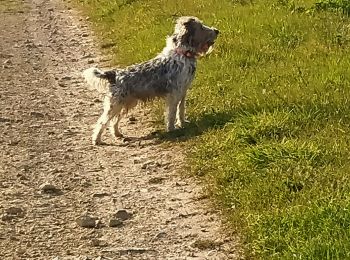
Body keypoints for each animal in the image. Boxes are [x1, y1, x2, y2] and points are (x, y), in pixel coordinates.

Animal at [82, 16, 219, 145]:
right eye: (201, 27)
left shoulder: (183, 92)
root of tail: (114, 74)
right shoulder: (174, 95)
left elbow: (181, 110)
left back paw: (117, 134)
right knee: (102, 122)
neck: (183, 54)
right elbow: (172, 113)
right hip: (115, 104)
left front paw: (183, 123)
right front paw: (172, 129)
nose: (217, 31)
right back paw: (97, 140)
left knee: (114, 121)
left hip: (126, 103)